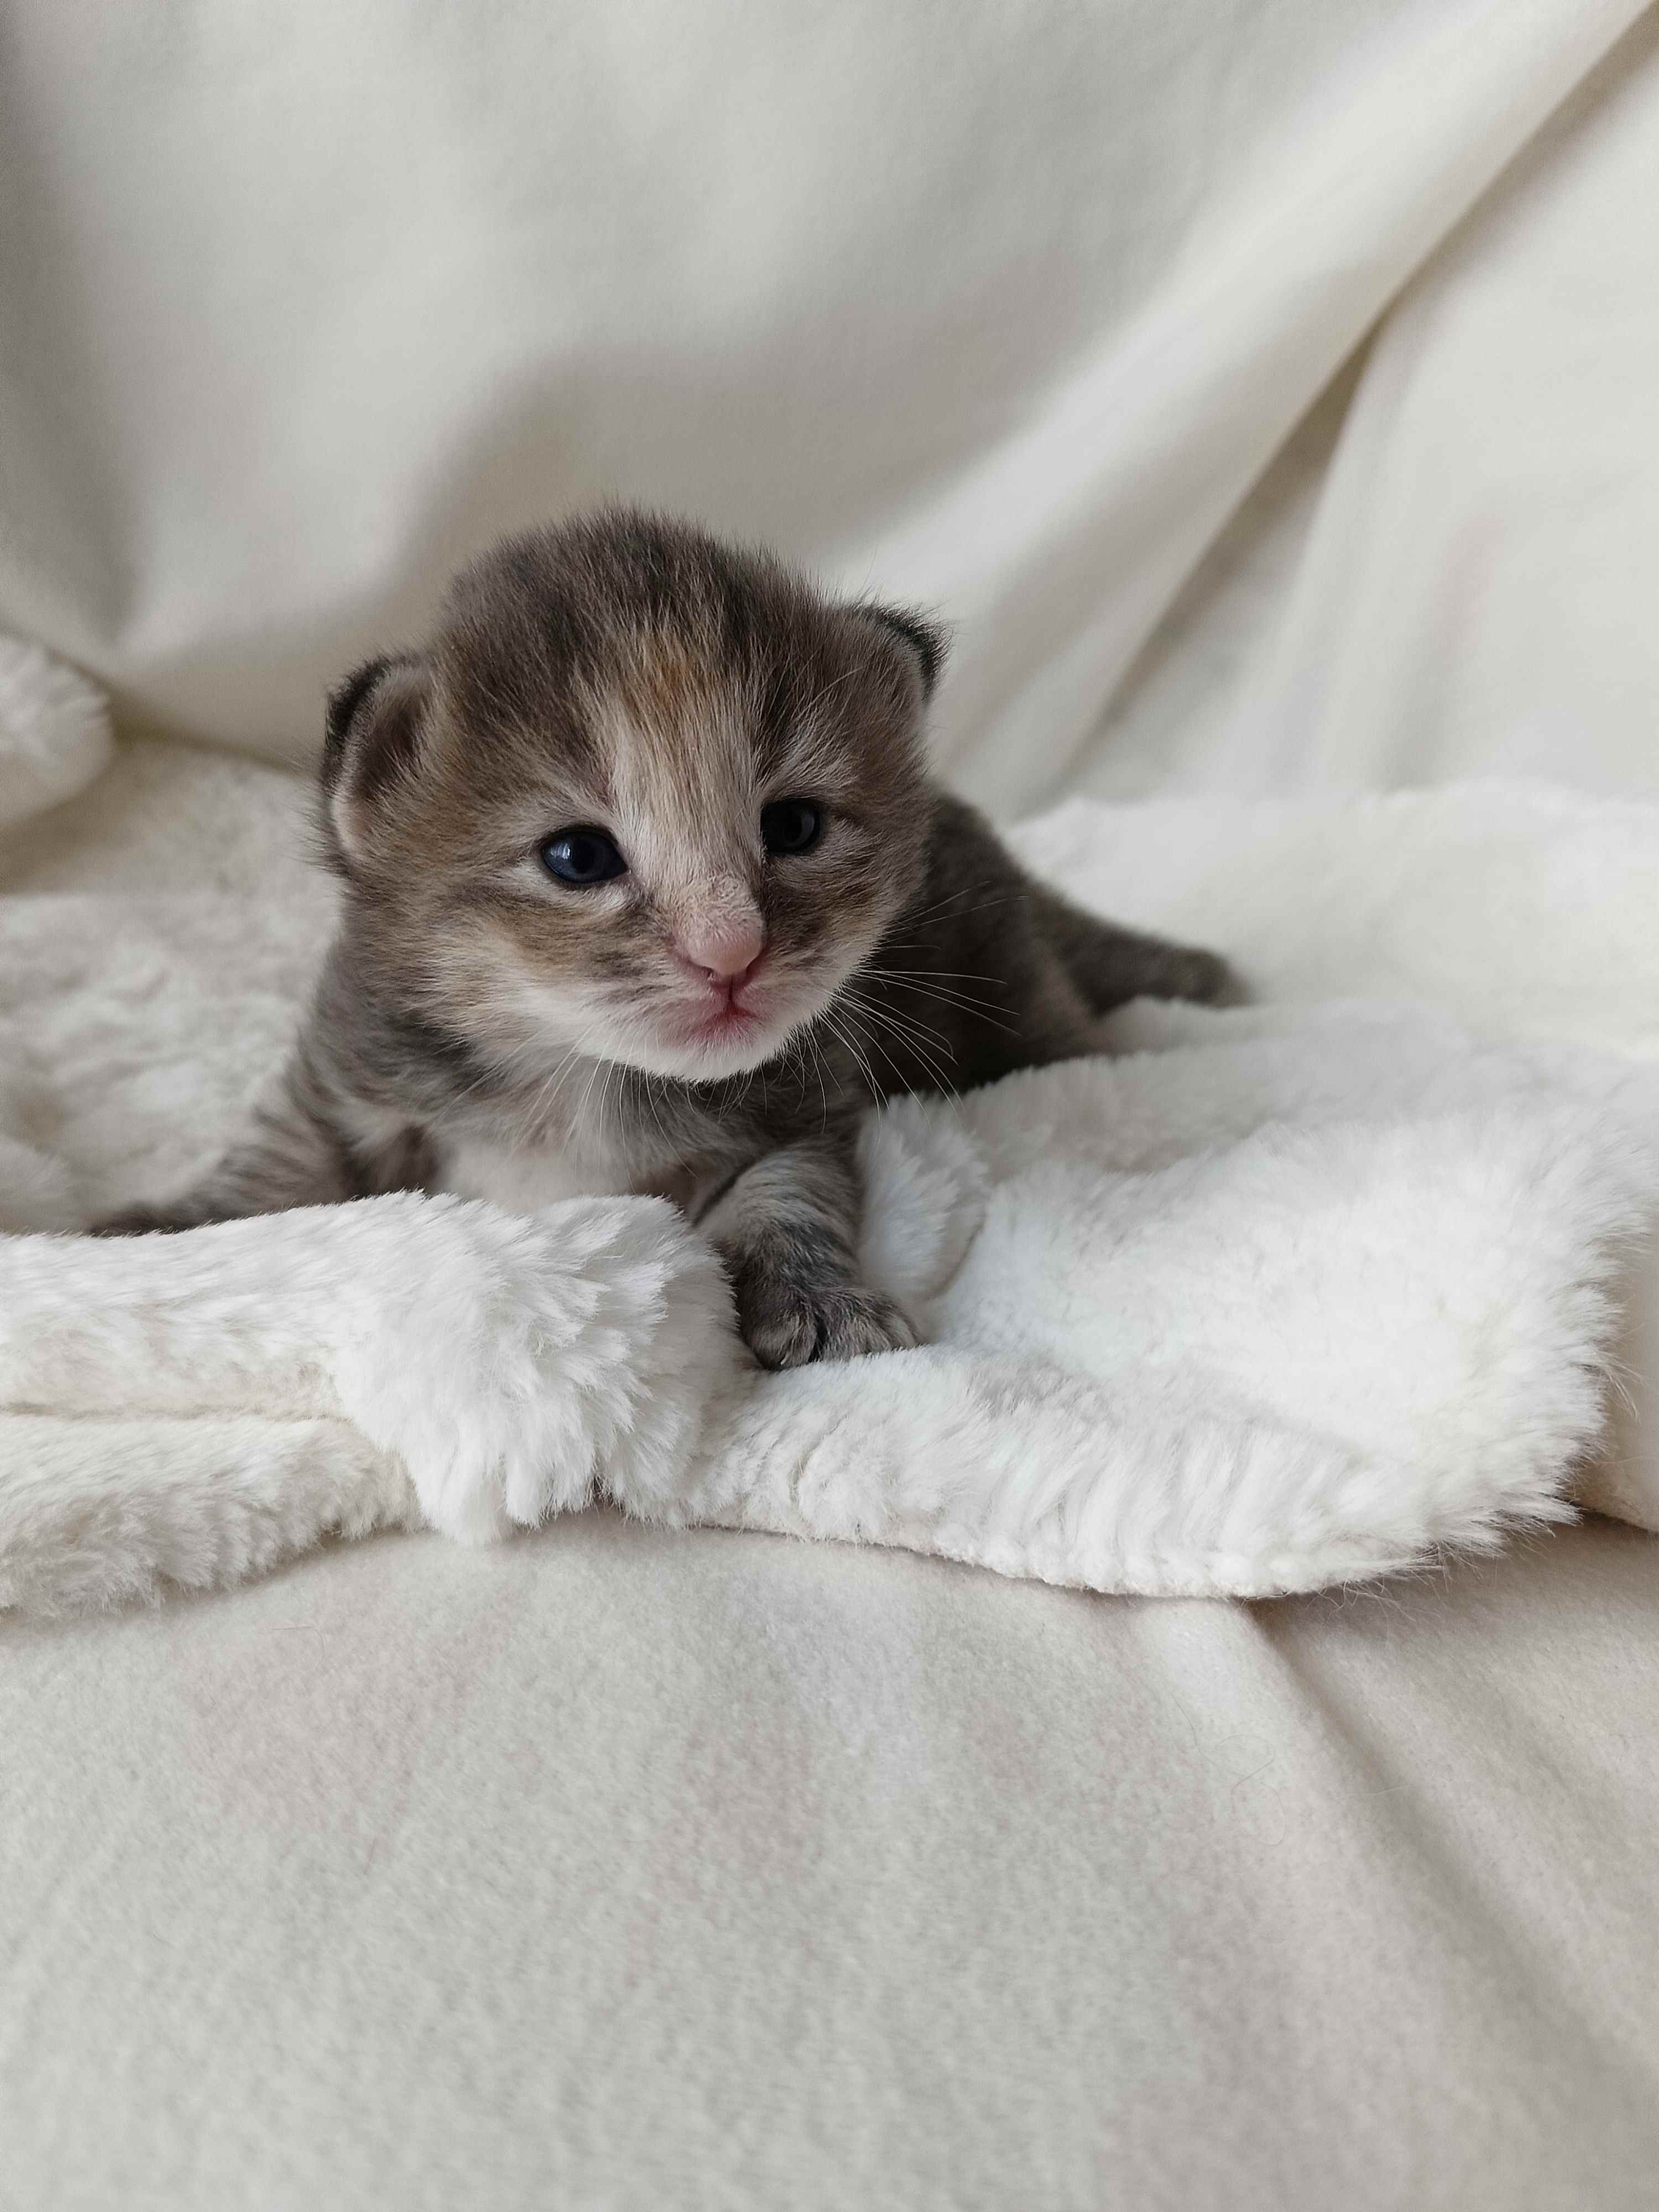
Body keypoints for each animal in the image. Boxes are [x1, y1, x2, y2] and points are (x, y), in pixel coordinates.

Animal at [99, 508, 1234, 1366]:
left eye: (794, 827)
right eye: (577, 858)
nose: (731, 950)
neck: (576, 1082)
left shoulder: (804, 1105)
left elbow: (790, 1198)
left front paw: (820, 1300)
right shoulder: (353, 1058)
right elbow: (276, 1161)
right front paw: (157, 1232)